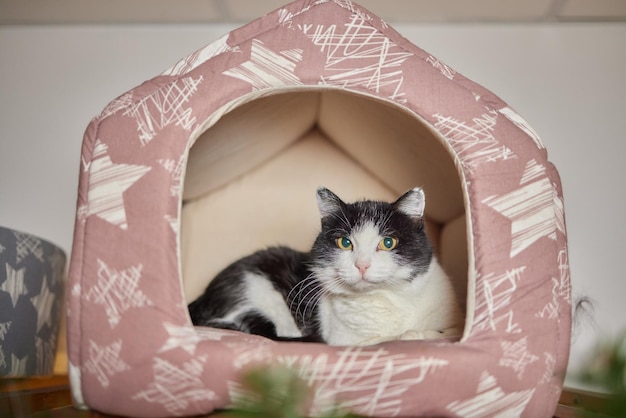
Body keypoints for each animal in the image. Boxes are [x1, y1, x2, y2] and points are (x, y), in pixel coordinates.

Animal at [188, 189, 460, 346]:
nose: (362, 265)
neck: (390, 299)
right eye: (345, 243)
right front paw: (416, 334)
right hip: (255, 288)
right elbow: (387, 338)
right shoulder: (343, 338)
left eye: (388, 242)